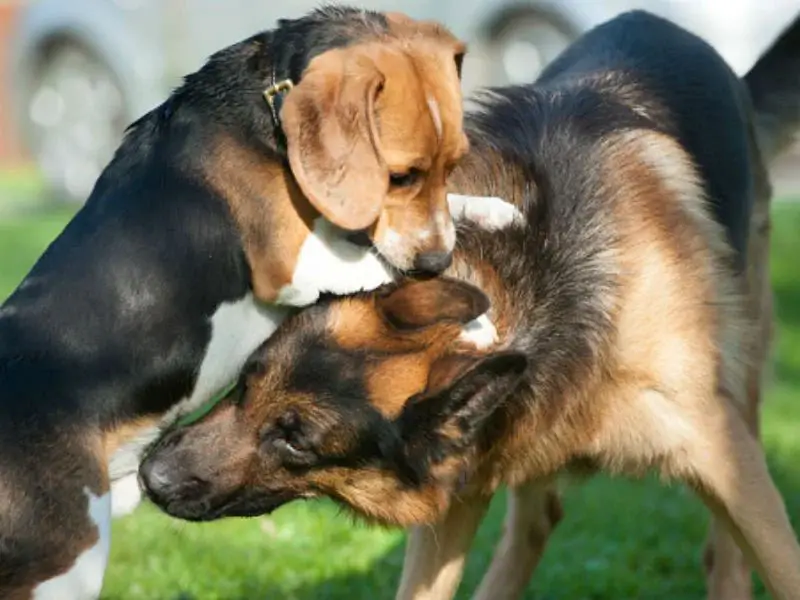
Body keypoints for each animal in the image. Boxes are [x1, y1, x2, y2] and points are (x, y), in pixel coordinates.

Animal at [141, 10, 800, 600]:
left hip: (740, 392)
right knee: (538, 520)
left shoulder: (723, 456)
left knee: (723, 552)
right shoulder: (460, 488)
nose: (149, 476)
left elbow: (780, 566)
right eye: (247, 381)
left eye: (297, 441)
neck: (519, 288)